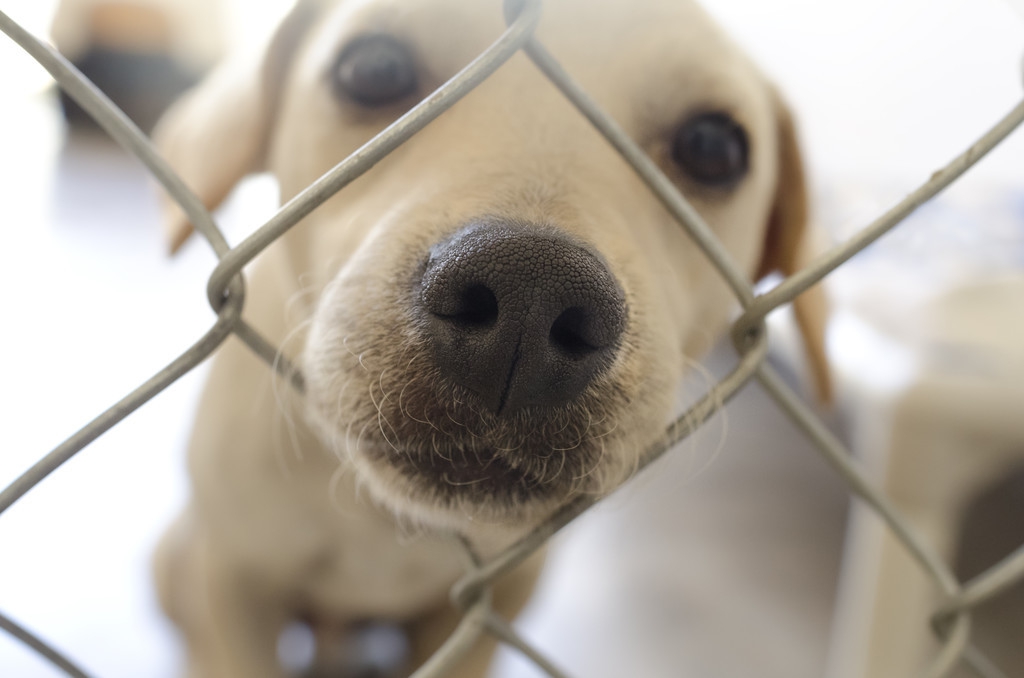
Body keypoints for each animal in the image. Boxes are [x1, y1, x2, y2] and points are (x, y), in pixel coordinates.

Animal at [153, 0, 831, 675]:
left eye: (712, 146)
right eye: (374, 68)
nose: (530, 297)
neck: (385, 519)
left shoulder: (496, 602)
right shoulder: (233, 580)